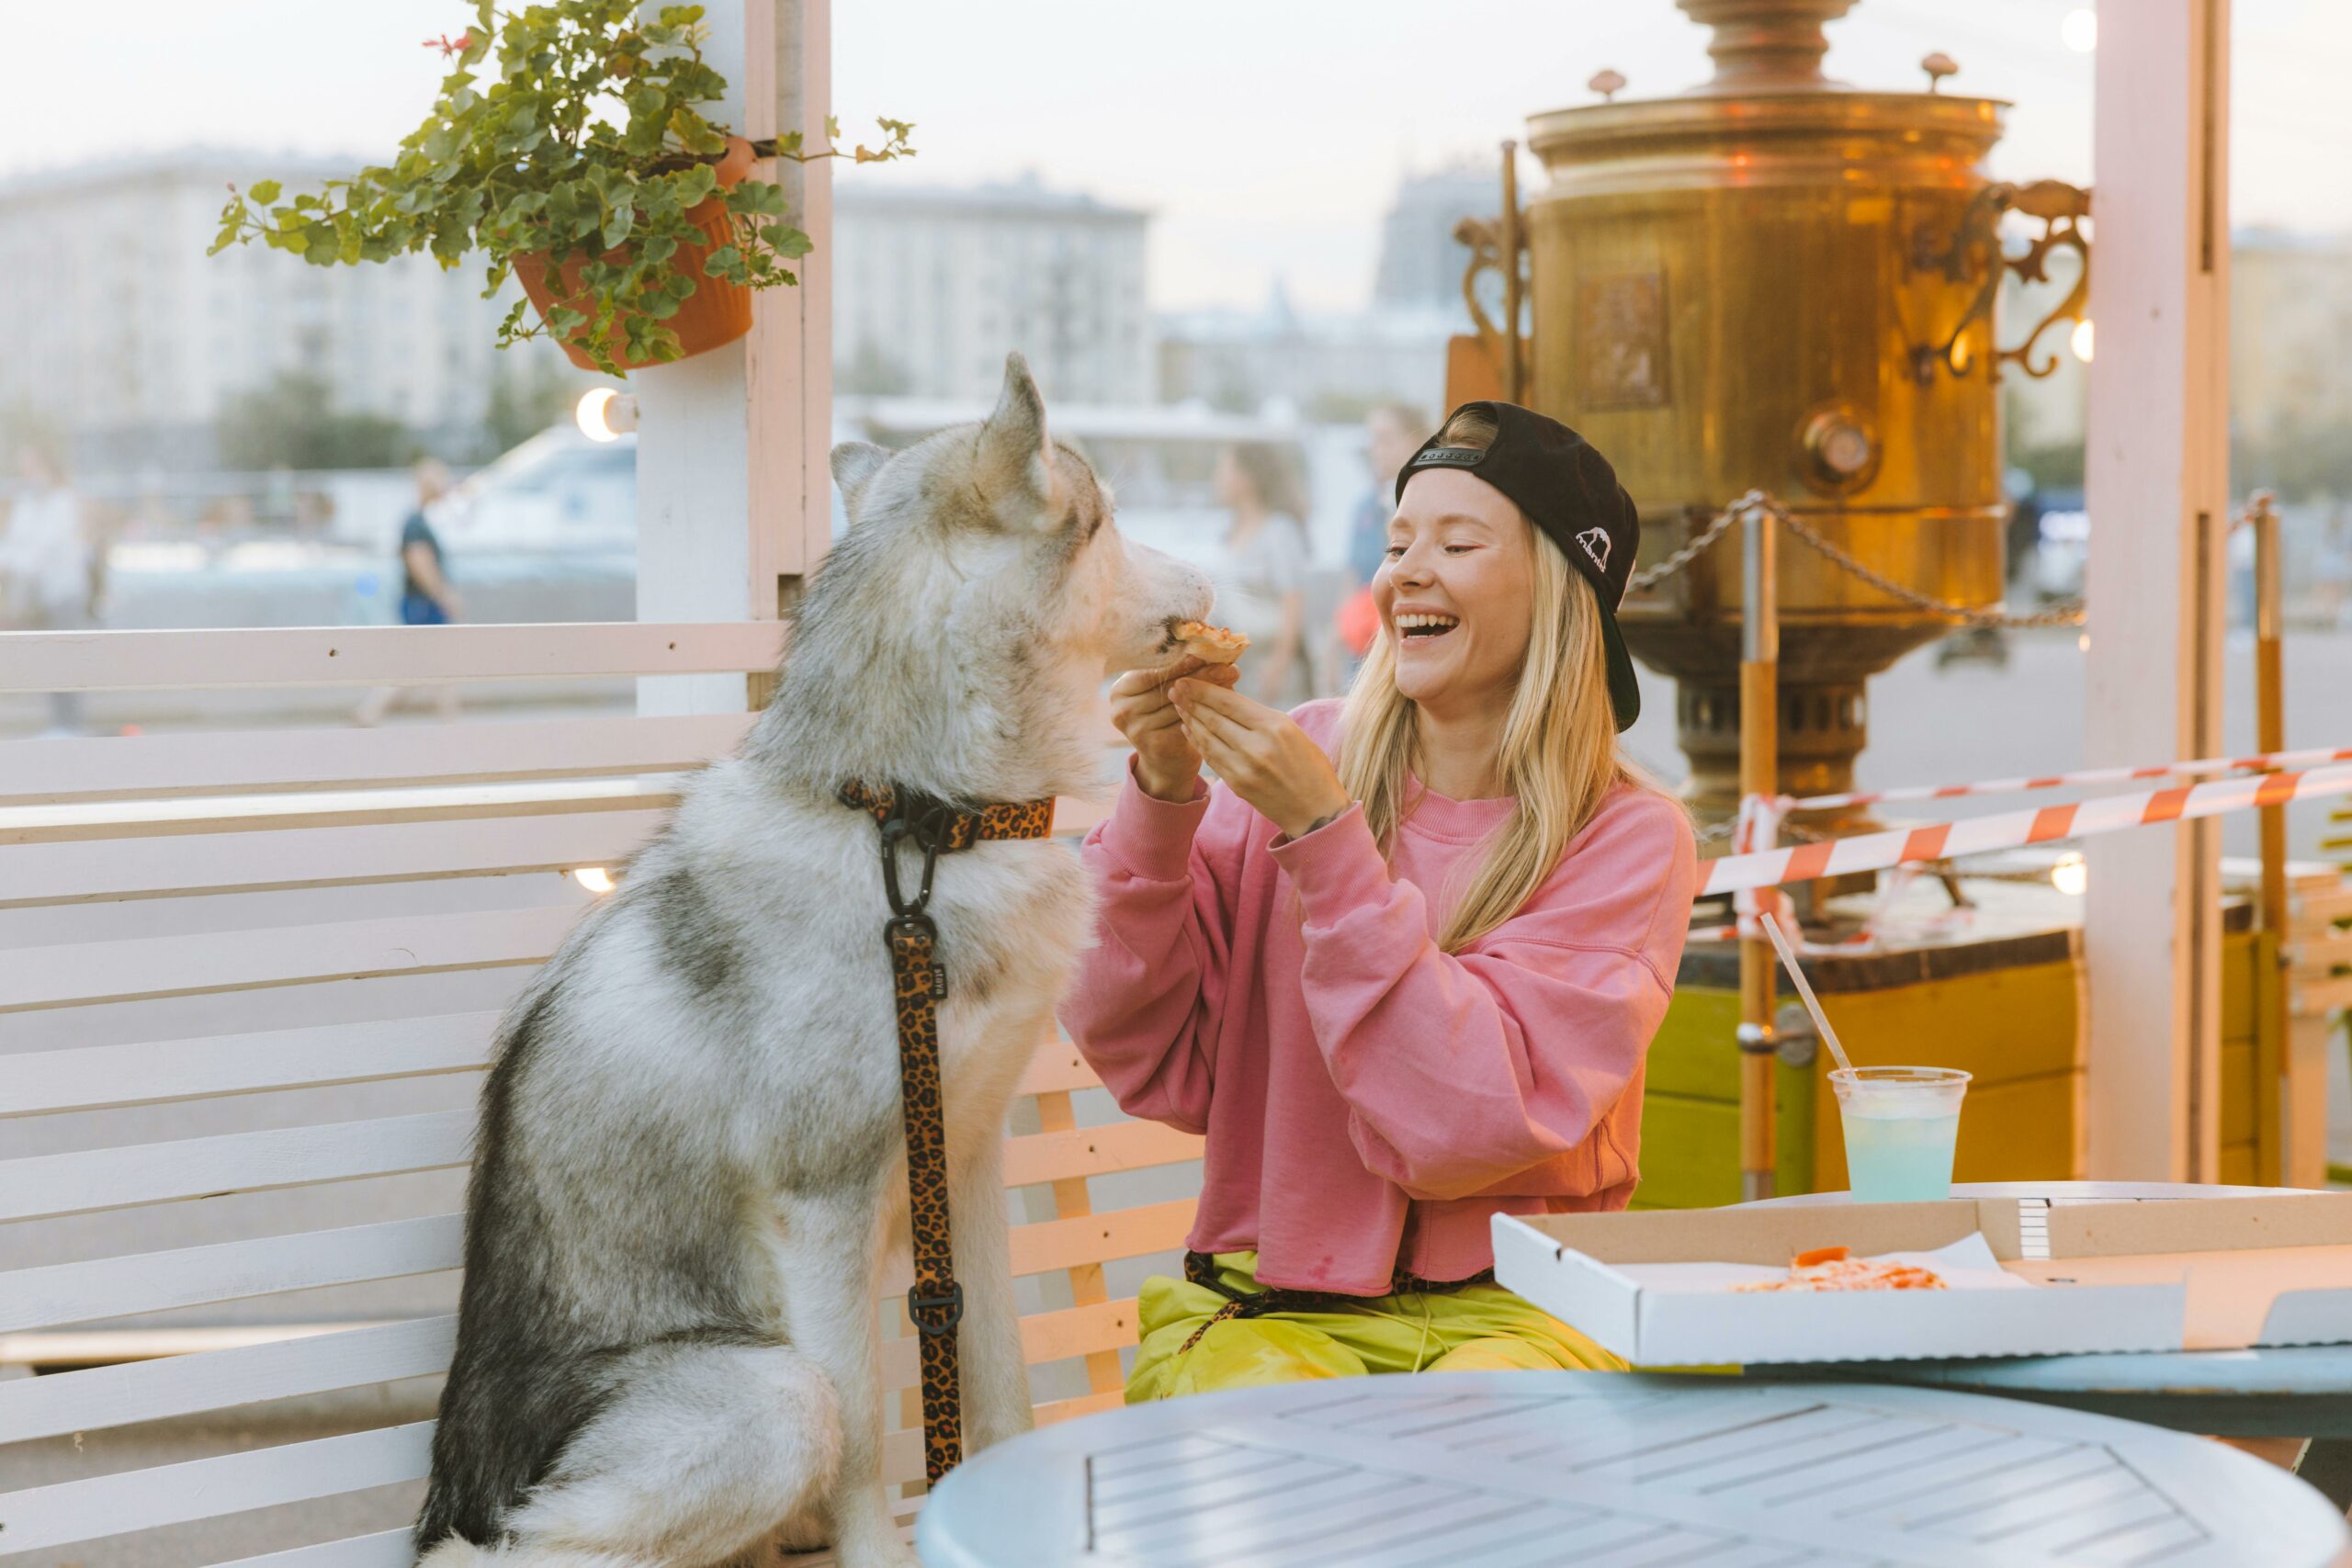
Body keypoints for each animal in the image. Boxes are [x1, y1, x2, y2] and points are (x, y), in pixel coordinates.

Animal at [413, 359, 1213, 1568]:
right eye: (1110, 518)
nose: (1211, 578)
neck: (923, 826)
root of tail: (447, 1492)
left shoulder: (964, 1159)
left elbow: (1002, 1382)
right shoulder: (821, 1206)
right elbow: (865, 1446)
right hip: (767, 1397)